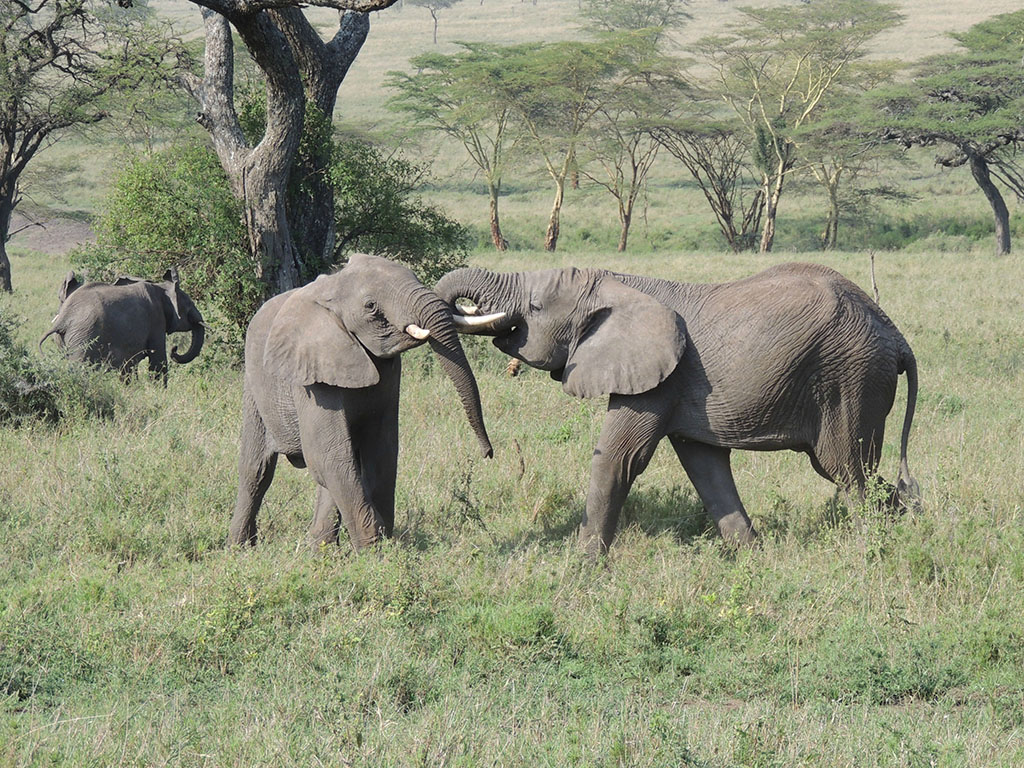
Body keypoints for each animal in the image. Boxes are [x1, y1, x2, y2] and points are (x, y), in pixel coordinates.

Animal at [39, 268, 205, 382]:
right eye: (189, 304)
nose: (175, 349)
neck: (161, 287)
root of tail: (63, 319)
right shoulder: (156, 319)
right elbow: (158, 362)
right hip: (83, 336)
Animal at [231, 253, 499, 552]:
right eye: (371, 307)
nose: (488, 453)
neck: (333, 291)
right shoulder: (314, 370)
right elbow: (327, 454)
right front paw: (376, 550)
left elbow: (380, 449)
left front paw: (382, 542)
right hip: (254, 384)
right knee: (257, 470)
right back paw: (240, 547)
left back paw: (320, 550)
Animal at [434, 262, 921, 557]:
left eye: (535, 307)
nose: (488, 452)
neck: (615, 283)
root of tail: (897, 335)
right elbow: (705, 467)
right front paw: (752, 557)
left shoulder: (658, 376)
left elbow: (619, 458)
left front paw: (582, 566)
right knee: (859, 474)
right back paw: (910, 526)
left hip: (850, 380)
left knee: (848, 470)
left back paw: (872, 551)